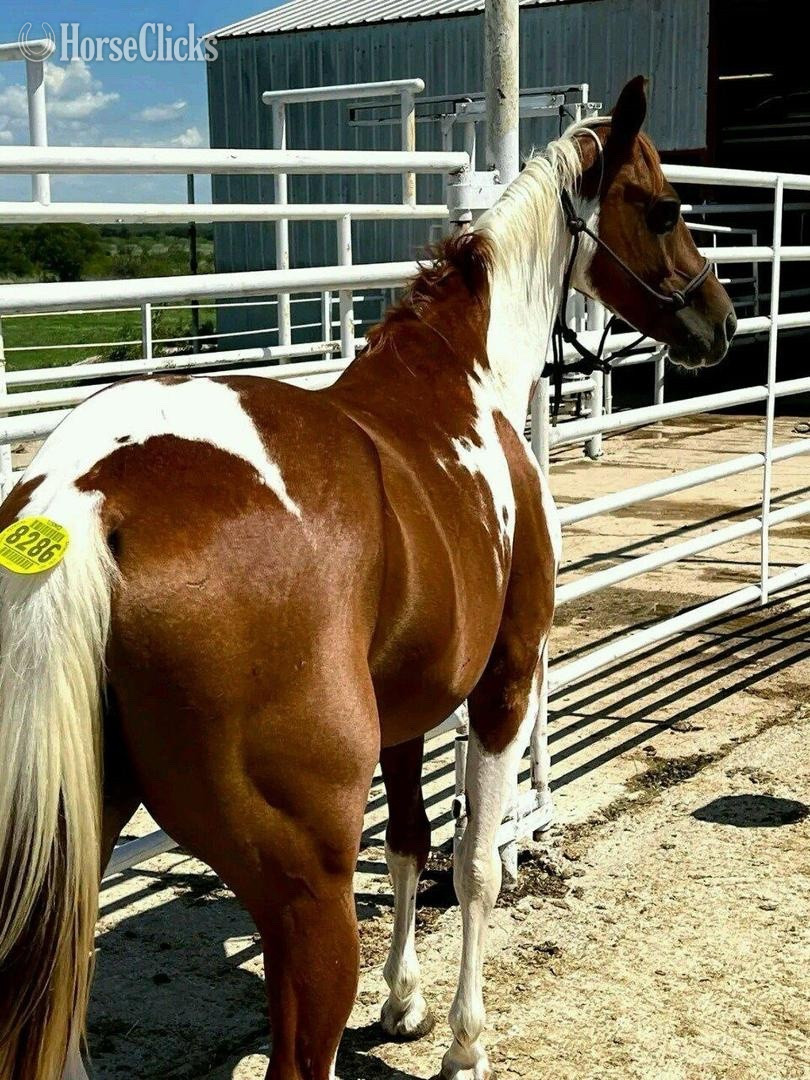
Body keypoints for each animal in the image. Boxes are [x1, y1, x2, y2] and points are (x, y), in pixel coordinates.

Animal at [0, 76, 734, 1080]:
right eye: (664, 208)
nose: (719, 321)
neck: (462, 380)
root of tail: (83, 493)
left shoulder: (407, 709)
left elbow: (412, 847)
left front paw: (404, 1002)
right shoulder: (504, 680)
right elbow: (476, 864)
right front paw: (465, 1041)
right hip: (306, 898)